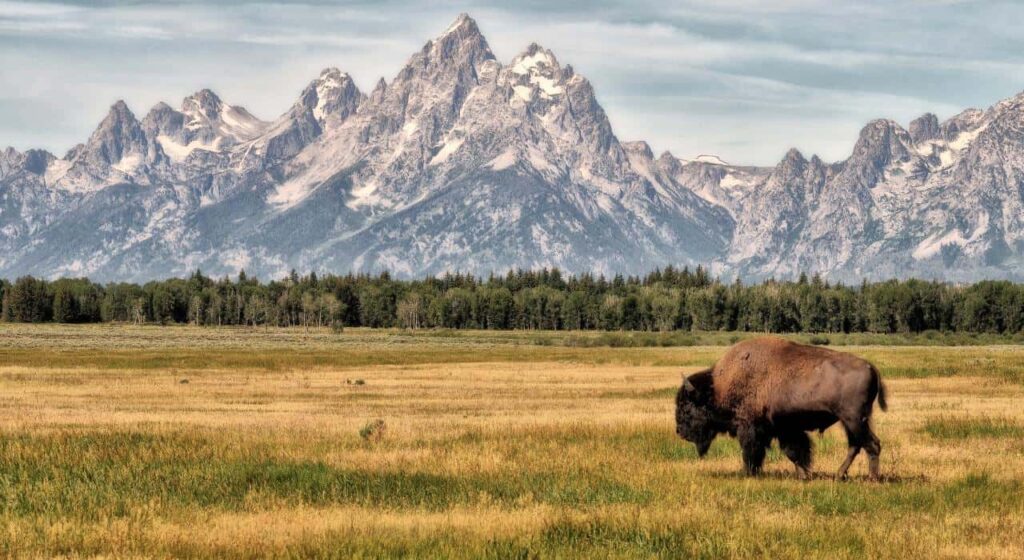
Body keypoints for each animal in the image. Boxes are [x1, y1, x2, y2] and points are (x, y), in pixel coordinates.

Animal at [675, 335, 884, 479]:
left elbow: (753, 451)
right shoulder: (786, 429)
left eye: (686, 407)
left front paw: (749, 473)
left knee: (871, 444)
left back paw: (871, 478)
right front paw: (803, 475)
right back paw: (840, 475)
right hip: (850, 422)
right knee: (856, 445)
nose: (679, 431)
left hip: (854, 420)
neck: (717, 387)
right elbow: (795, 452)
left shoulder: (751, 428)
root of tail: (871, 367)